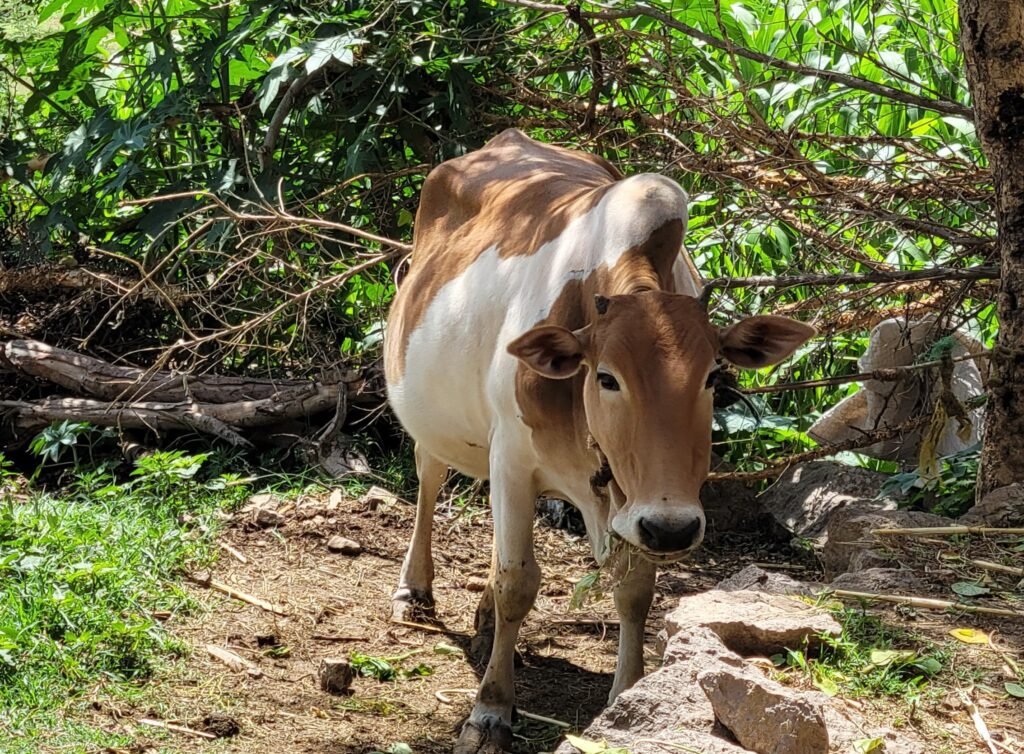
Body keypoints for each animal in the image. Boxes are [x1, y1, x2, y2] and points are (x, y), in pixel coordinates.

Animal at [385, 129, 815, 754]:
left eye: (714, 376)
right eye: (607, 377)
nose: (674, 527)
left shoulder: (633, 505)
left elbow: (633, 589)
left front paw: (627, 698)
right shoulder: (513, 458)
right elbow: (517, 581)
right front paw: (490, 711)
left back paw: (483, 621)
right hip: (432, 420)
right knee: (427, 478)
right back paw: (413, 590)